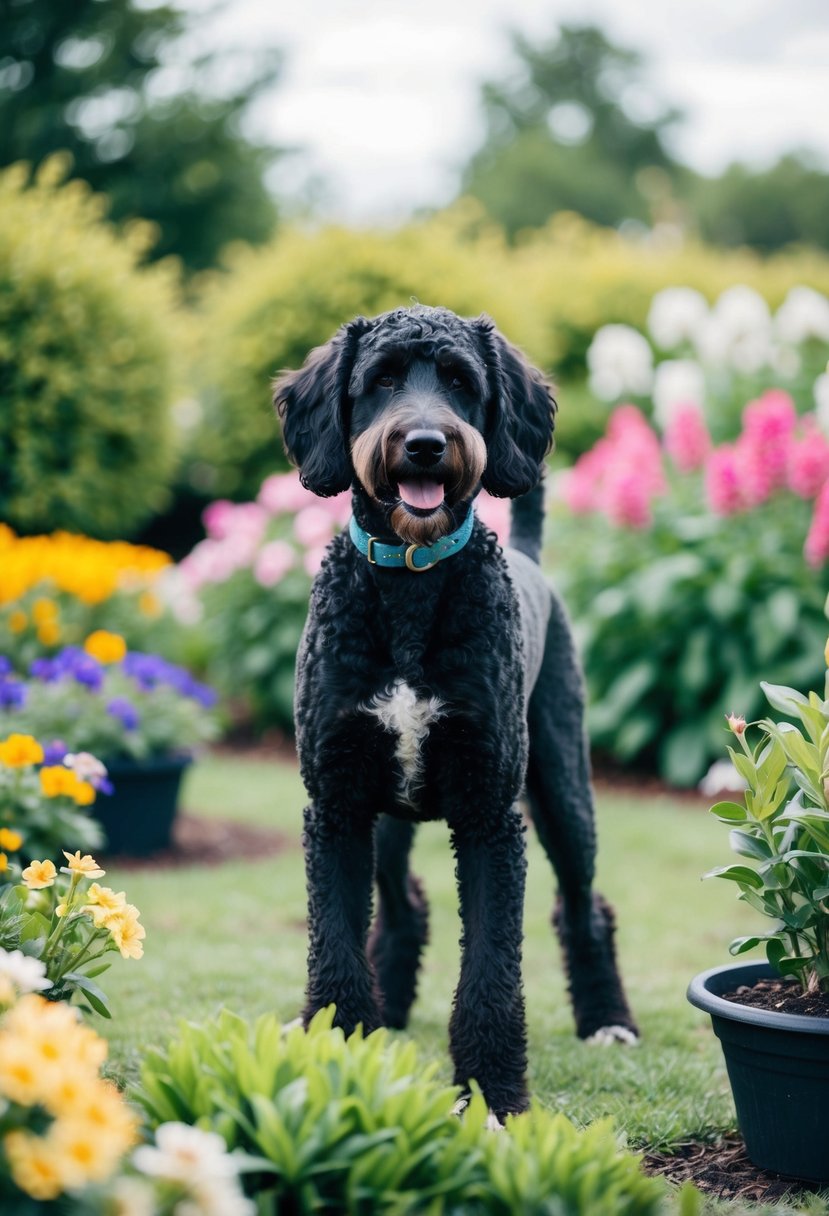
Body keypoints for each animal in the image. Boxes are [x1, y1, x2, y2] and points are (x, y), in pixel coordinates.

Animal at [274, 304, 636, 1118]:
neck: (411, 582)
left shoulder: (489, 818)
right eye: (380, 380)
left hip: (564, 793)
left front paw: (492, 1096)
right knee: (403, 901)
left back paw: (608, 1022)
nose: (425, 444)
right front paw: (339, 1058)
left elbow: (491, 975)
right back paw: (390, 1010)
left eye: (461, 382)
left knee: (585, 907)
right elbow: (335, 952)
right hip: (385, 821)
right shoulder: (336, 809)